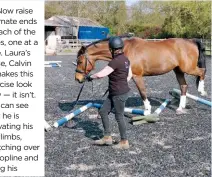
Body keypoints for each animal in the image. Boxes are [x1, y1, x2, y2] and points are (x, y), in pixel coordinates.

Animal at [74, 35, 205, 114]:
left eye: (79, 61)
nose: (78, 79)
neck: (124, 50)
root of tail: (191, 41)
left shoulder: (137, 76)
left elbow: (142, 91)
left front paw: (147, 109)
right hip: (178, 70)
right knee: (183, 86)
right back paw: (180, 107)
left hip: (188, 68)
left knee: (202, 72)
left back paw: (202, 90)